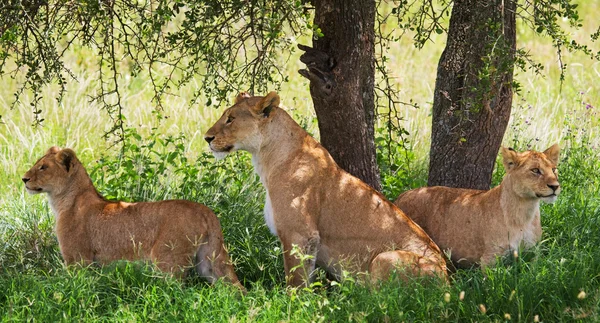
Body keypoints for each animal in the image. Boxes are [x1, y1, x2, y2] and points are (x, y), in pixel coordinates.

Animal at [23, 146, 244, 288]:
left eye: (43, 167)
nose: (24, 179)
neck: (63, 201)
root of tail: (204, 210)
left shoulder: (78, 260)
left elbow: (76, 289)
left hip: (167, 261)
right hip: (209, 261)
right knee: (235, 289)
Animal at [204, 92, 448, 288]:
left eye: (231, 119)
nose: (207, 138)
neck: (266, 158)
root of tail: (447, 279)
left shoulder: (299, 233)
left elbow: (295, 279)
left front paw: (291, 305)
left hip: (384, 259)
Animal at [396, 146, 560, 270]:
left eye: (554, 170)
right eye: (535, 170)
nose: (555, 186)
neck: (525, 211)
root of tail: (401, 195)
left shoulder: (534, 253)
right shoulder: (490, 259)